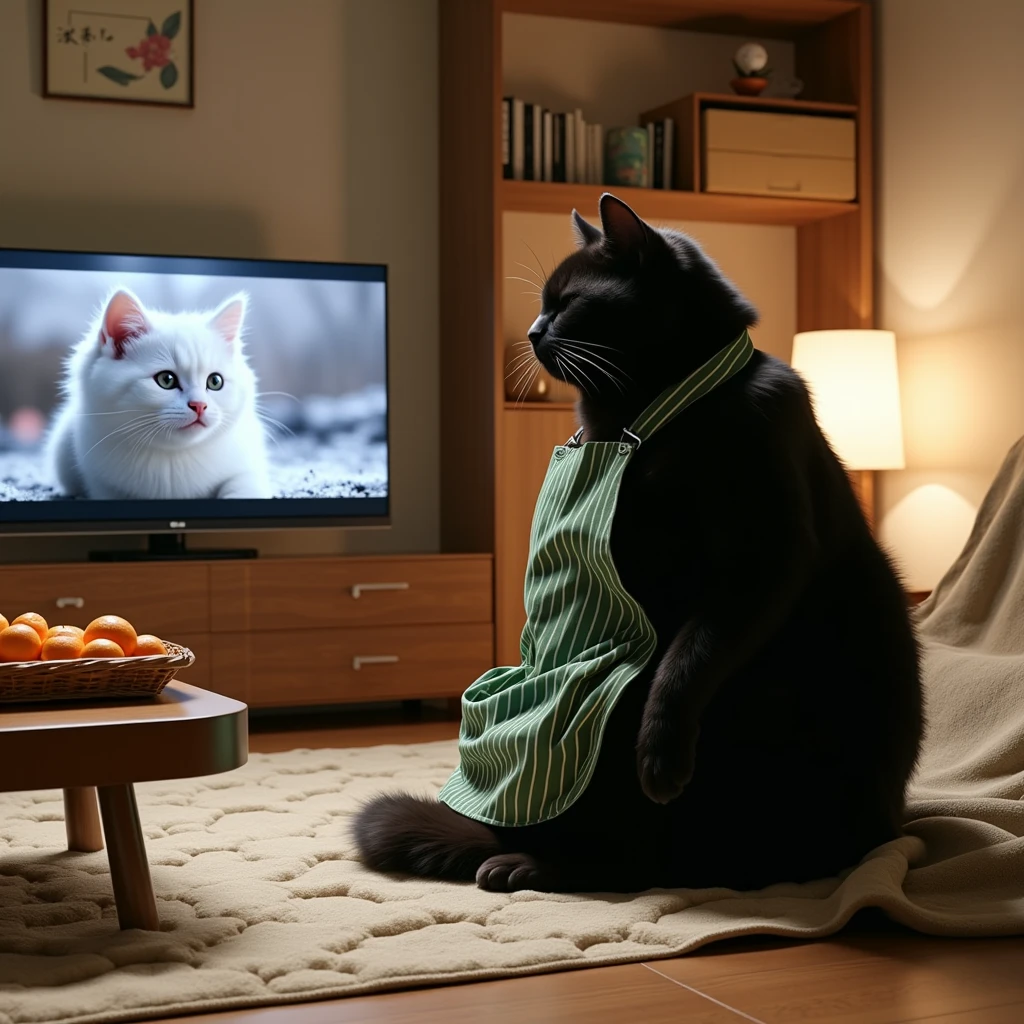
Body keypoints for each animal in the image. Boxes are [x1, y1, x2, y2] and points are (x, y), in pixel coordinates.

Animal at [47, 288, 272, 499]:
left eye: (215, 381)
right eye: (166, 380)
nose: (199, 405)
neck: (173, 457)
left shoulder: (250, 462)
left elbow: (244, 485)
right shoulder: (103, 484)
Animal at [356, 193, 925, 897]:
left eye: (568, 301)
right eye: (543, 303)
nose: (534, 332)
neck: (647, 418)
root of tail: (883, 831)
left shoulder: (758, 562)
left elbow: (685, 665)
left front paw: (660, 758)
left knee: (639, 859)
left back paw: (530, 864)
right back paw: (516, 858)